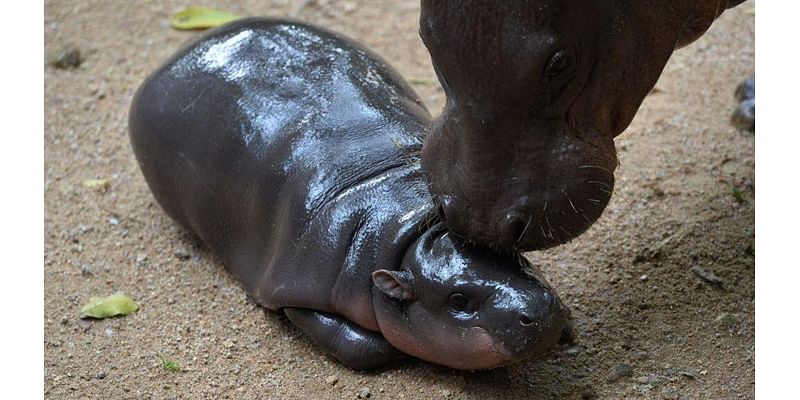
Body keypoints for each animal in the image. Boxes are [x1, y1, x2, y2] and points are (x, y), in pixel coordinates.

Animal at [130, 18, 568, 368]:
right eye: (458, 301)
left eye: (515, 256)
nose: (538, 310)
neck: (408, 225)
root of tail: (179, 55)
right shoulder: (298, 290)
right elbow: (359, 345)